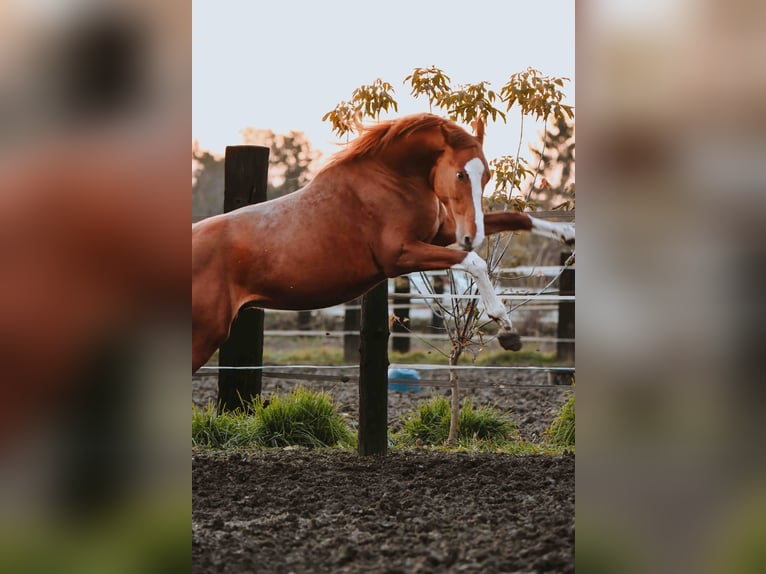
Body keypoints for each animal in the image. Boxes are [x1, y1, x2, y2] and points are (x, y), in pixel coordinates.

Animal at [194, 113, 576, 374]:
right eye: (459, 174)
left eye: (487, 175)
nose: (473, 236)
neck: (391, 179)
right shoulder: (401, 255)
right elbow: (473, 262)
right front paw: (505, 328)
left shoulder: (439, 234)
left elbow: (517, 218)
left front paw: (568, 234)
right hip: (205, 335)